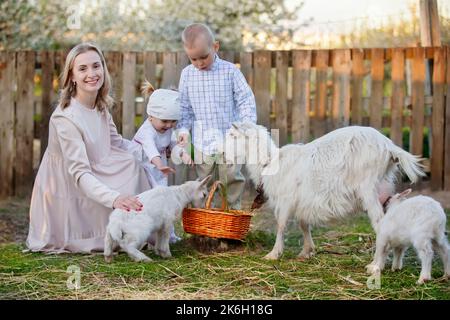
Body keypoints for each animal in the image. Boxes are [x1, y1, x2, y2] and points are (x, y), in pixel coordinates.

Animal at [223, 122, 424, 260]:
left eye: (232, 135)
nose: (222, 153)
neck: (270, 162)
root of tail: (390, 148)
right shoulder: (302, 200)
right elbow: (304, 224)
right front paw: (306, 251)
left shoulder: (286, 199)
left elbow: (280, 225)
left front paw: (273, 254)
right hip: (383, 188)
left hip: (368, 188)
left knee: (379, 222)